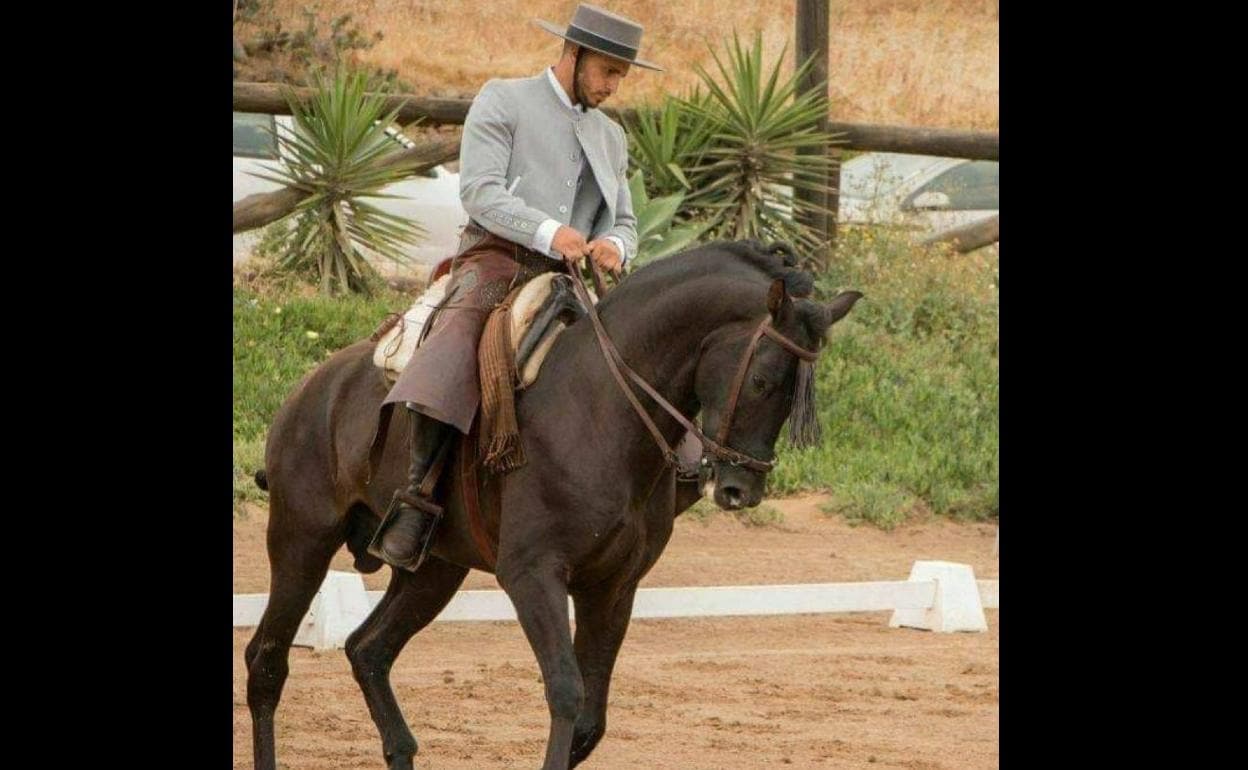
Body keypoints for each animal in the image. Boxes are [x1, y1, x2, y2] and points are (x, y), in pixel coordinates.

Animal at [248, 239, 863, 768]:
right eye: (761, 380)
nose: (742, 490)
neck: (602, 410)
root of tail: (314, 387)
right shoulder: (533, 574)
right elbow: (567, 693)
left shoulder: (612, 586)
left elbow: (590, 719)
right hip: (302, 542)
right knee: (267, 662)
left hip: (434, 571)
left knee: (368, 650)